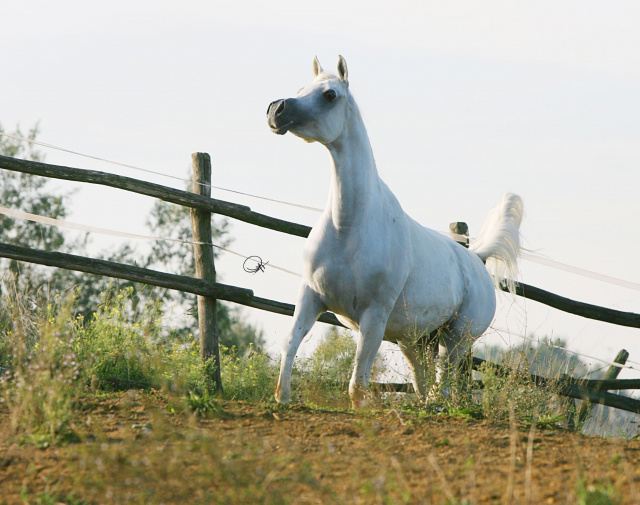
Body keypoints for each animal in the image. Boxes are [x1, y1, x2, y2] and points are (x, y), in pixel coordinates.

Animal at [268, 57, 524, 408]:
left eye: (330, 94)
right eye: (301, 89)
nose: (276, 110)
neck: (348, 227)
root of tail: (476, 258)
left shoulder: (374, 316)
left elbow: (358, 381)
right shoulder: (310, 297)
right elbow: (290, 343)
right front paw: (283, 399)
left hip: (455, 338)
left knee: (443, 383)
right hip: (413, 340)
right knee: (424, 383)